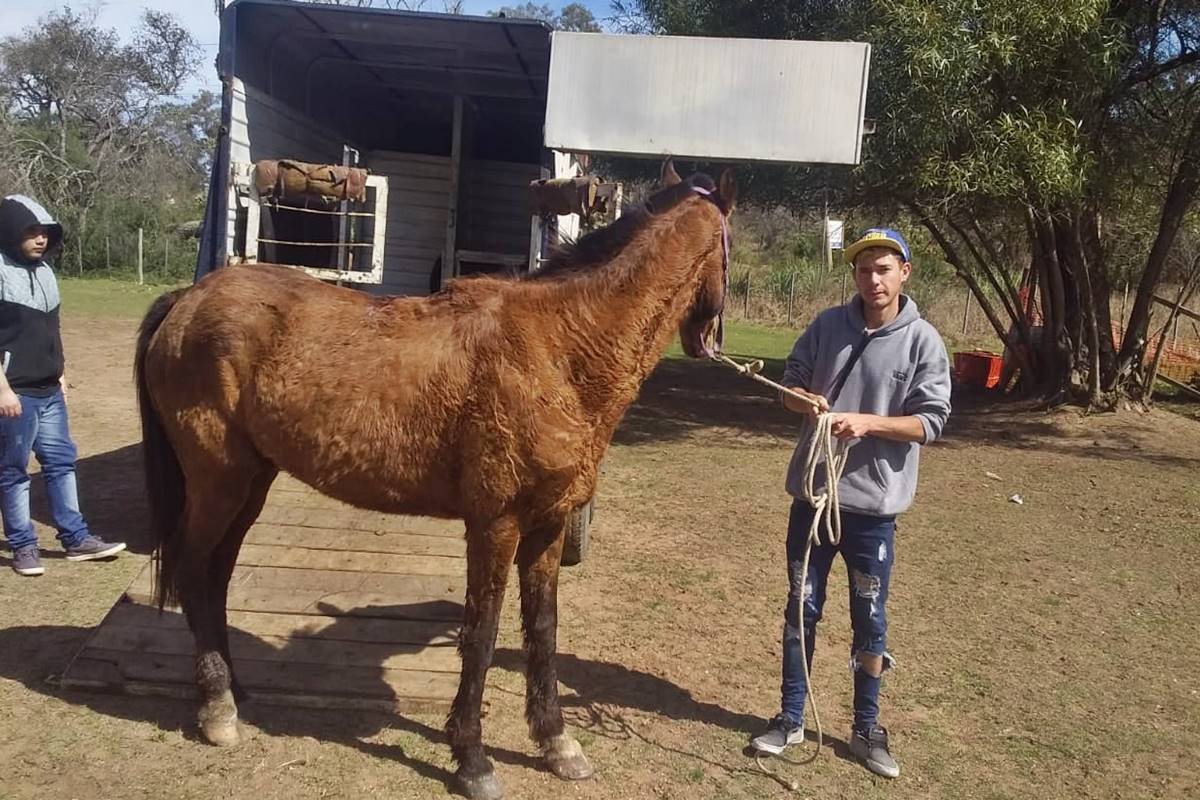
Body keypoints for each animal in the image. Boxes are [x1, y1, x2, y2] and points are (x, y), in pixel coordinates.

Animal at [133, 160, 735, 800]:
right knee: (194, 569)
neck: (558, 348)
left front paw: (556, 742)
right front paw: (472, 758)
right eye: (731, 250)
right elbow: (482, 631)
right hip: (218, 481)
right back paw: (217, 708)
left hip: (250, 482)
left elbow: (542, 629)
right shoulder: (495, 525)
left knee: (217, 574)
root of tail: (187, 300)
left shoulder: (547, 528)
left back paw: (235, 688)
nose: (707, 338)